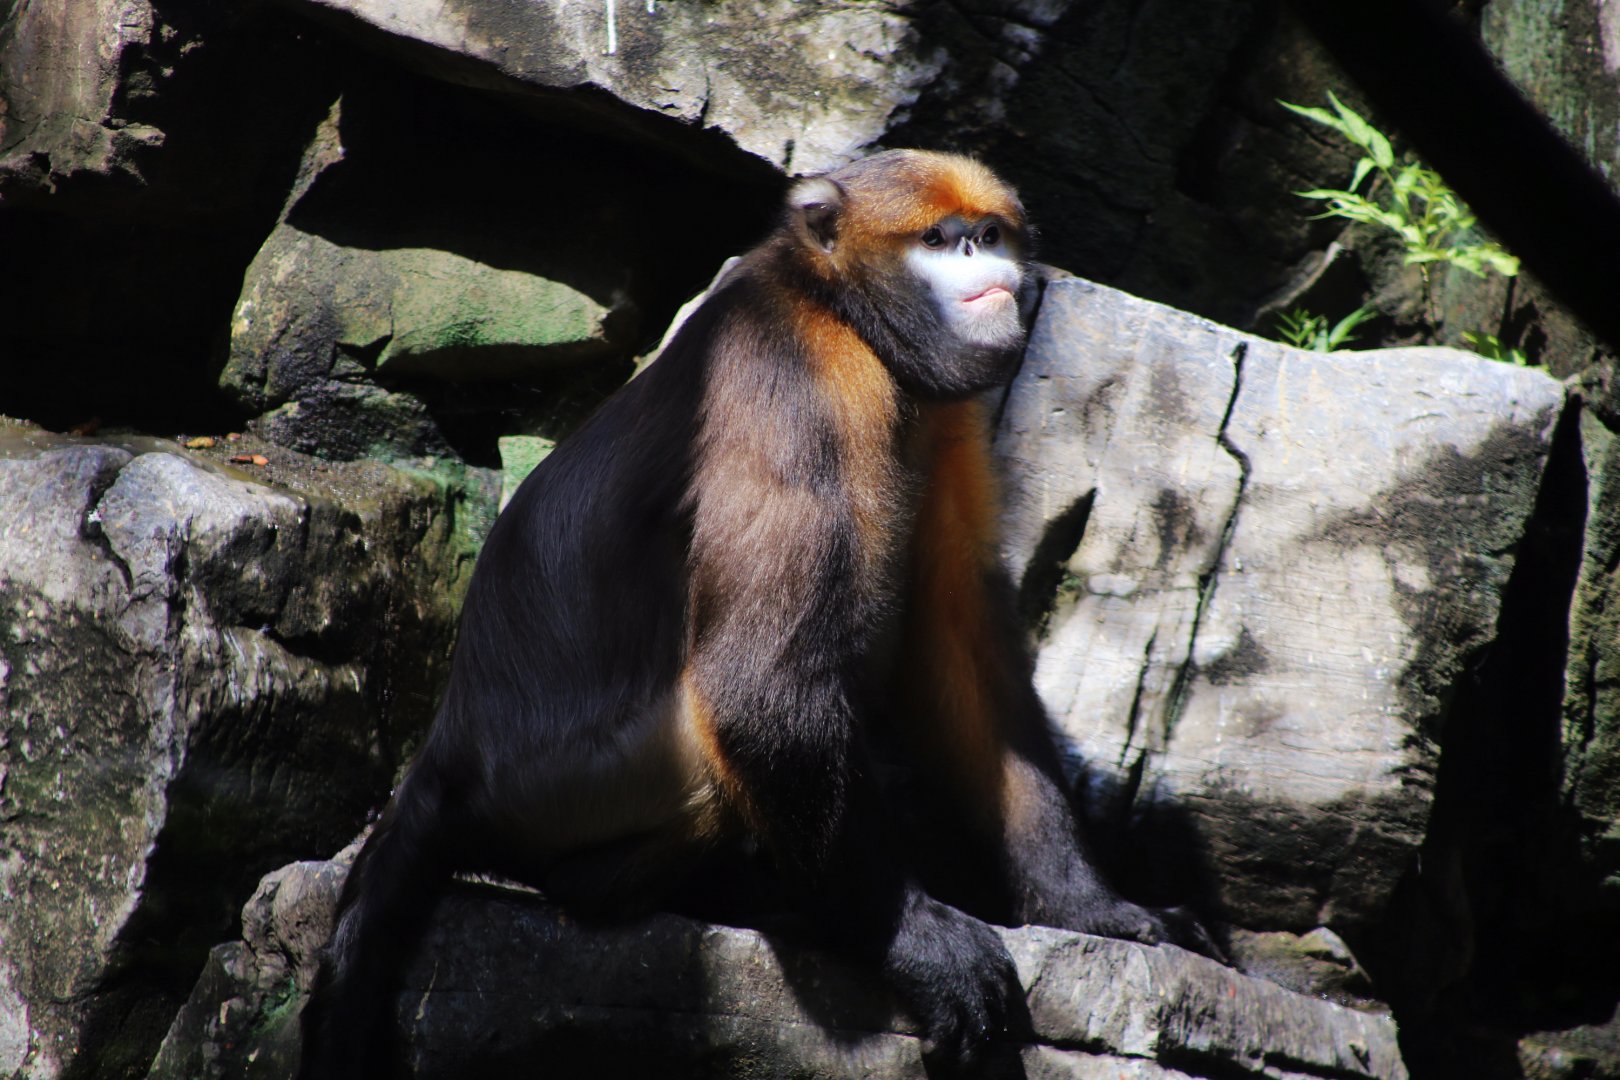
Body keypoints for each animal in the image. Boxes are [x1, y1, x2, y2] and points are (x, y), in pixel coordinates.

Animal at [298, 149, 1215, 1079]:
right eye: (939, 241)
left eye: (989, 235)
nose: (981, 262)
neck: (841, 310)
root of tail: (451, 749)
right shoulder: (803, 385)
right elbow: (757, 692)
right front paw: (917, 942)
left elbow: (958, 648)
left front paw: (1088, 905)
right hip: (579, 781)